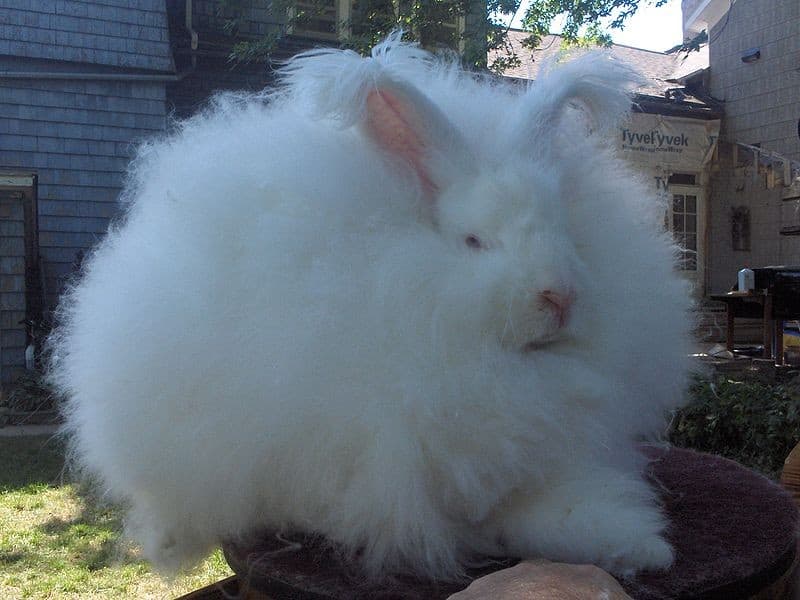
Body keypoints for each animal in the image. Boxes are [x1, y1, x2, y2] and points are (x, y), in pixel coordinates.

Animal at [47, 32, 692, 580]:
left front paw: (644, 548)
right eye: (474, 241)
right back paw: (171, 539)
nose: (560, 295)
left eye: (568, 234)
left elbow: (569, 509)